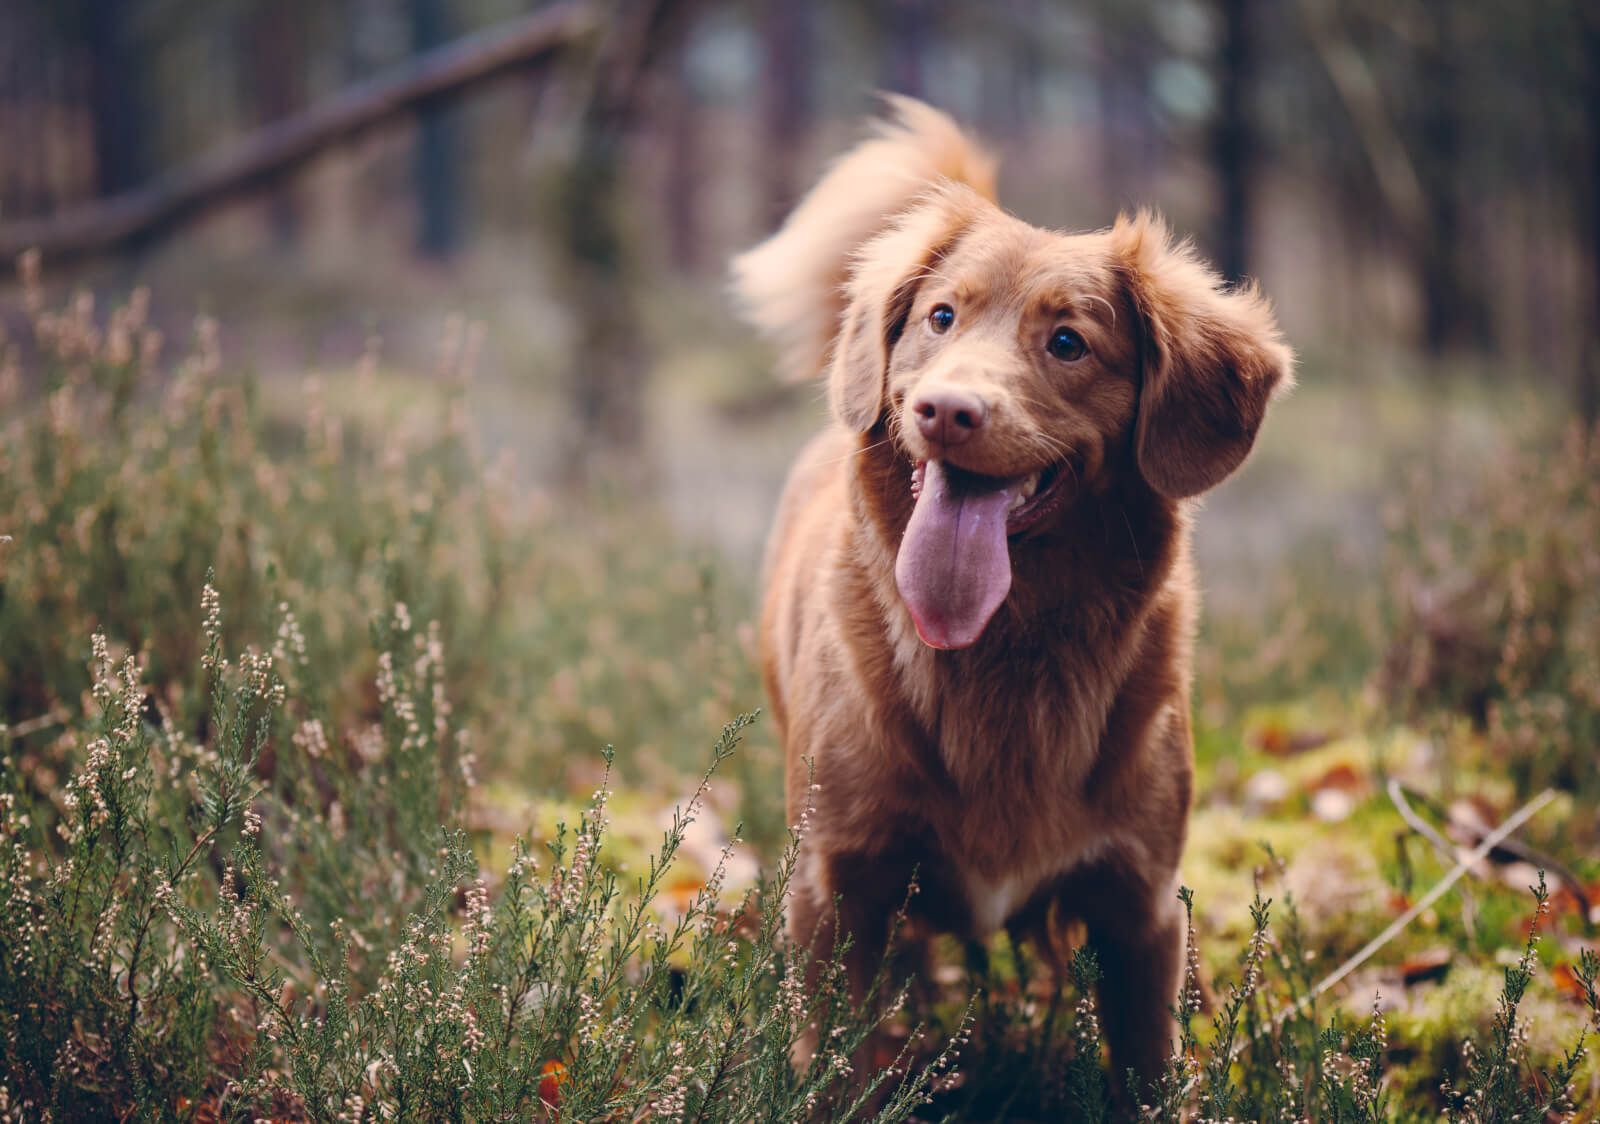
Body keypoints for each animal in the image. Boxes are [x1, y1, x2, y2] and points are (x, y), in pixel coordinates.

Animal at [732, 99, 1292, 1088]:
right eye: (940, 318)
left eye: (1068, 342)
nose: (946, 411)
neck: (1005, 647)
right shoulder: (836, 887)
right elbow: (840, 1068)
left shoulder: (1139, 906)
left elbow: (1147, 1073)